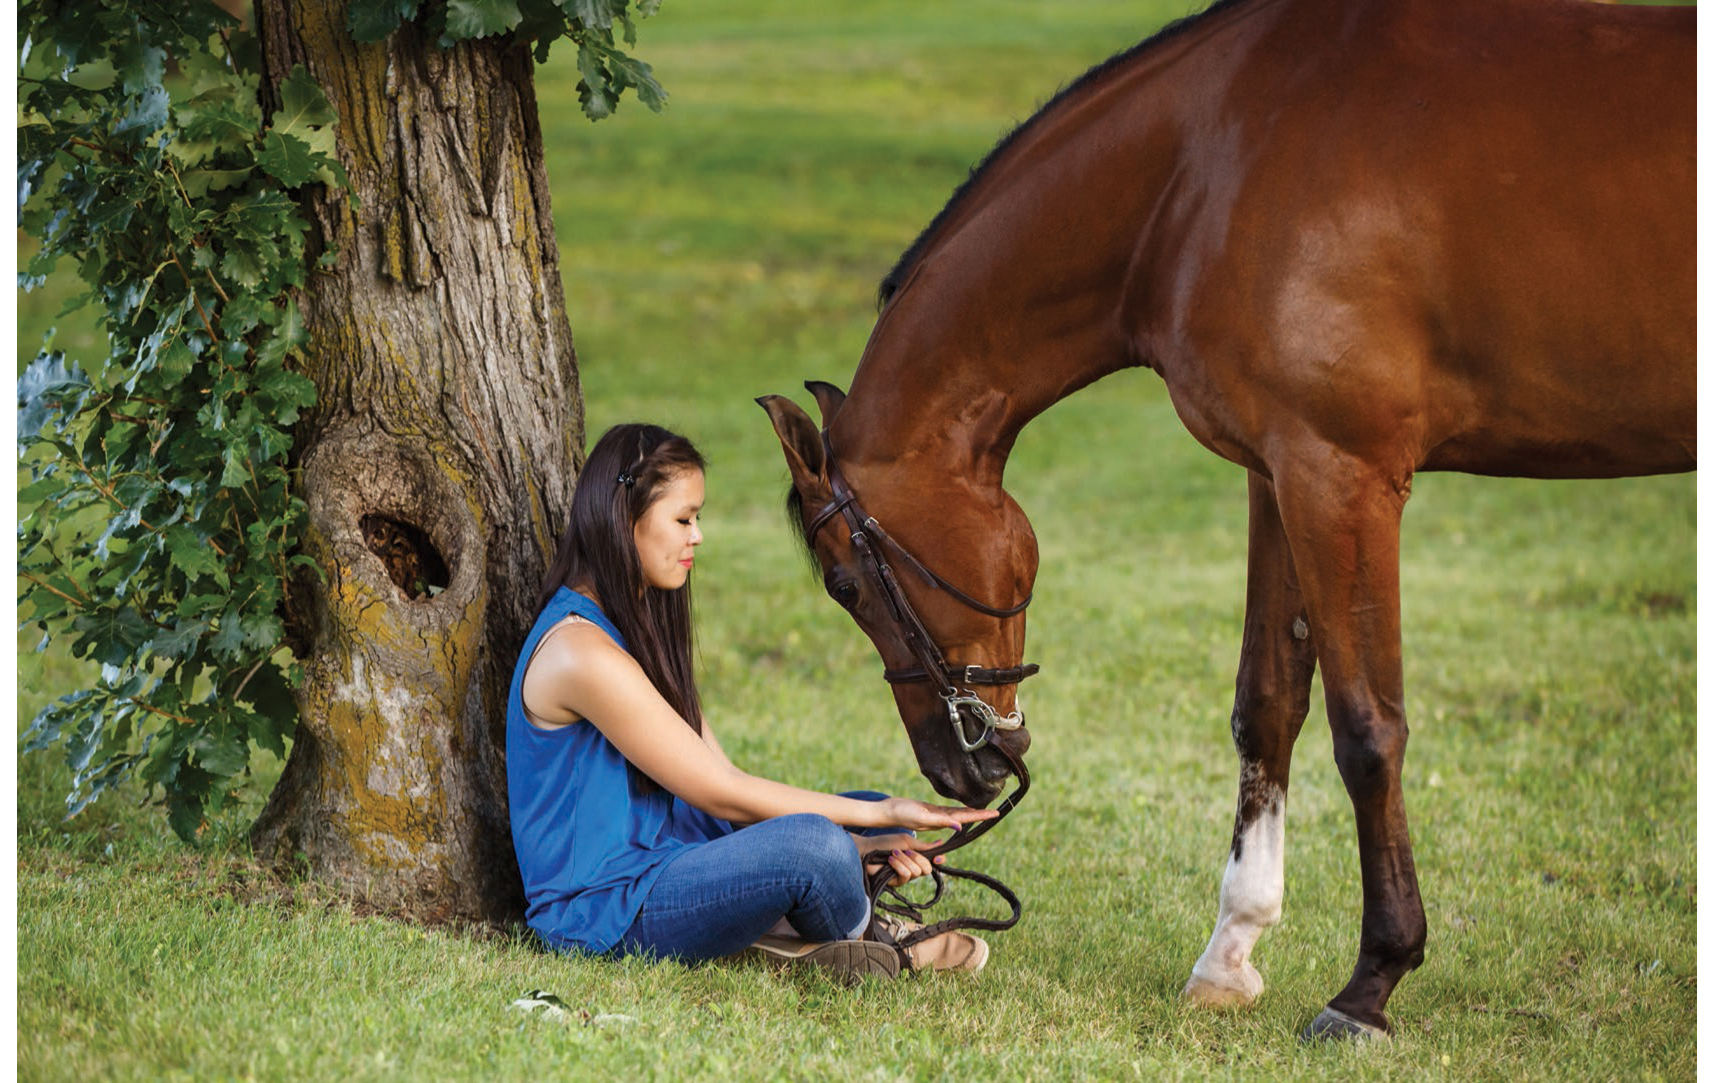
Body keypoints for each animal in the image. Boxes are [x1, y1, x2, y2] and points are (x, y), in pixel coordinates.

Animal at [757, 0, 1693, 1041]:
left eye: (846, 581)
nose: (958, 772)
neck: (1203, 173)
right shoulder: (1278, 472)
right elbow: (1268, 703)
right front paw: (1231, 951)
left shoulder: (1341, 475)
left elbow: (1368, 727)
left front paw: (1372, 981)